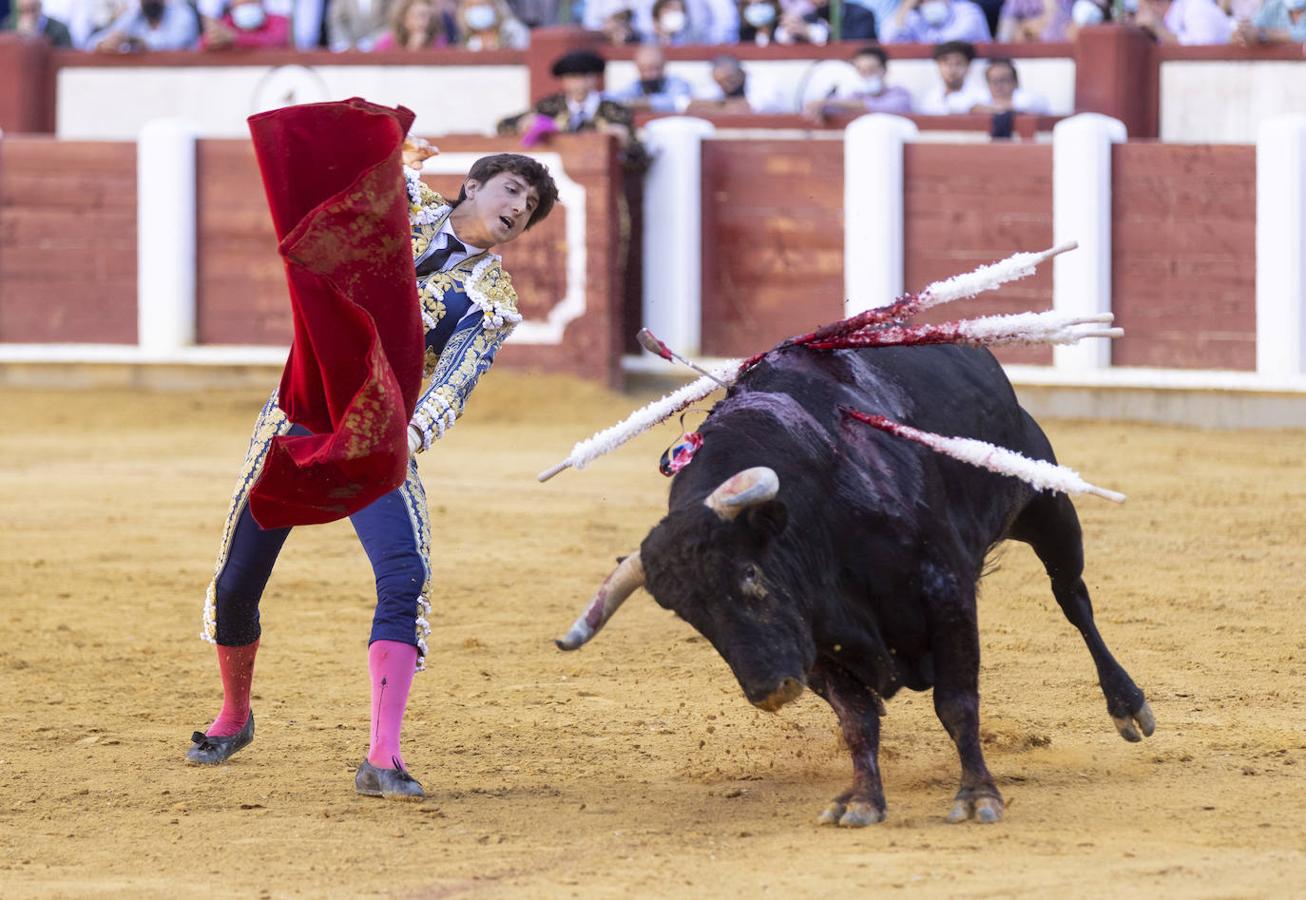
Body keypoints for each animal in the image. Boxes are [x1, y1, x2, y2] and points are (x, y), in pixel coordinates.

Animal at [553, 339, 1154, 825]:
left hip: (1045, 502)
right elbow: (856, 721)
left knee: (1072, 598)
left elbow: (957, 703)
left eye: (750, 574)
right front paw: (862, 801)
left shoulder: (948, 595)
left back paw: (1128, 706)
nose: (770, 690)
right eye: (690, 616)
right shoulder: (816, 643)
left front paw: (978, 796)